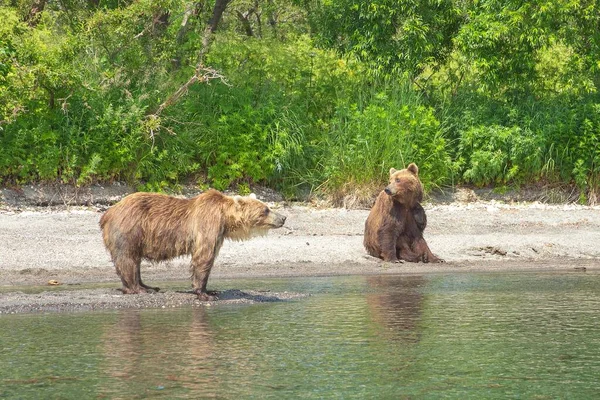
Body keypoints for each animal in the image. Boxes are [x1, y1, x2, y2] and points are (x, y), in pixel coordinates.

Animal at [99, 190, 288, 300]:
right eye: (266, 209)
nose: (283, 217)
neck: (225, 219)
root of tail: (108, 213)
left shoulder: (219, 234)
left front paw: (210, 290)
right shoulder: (208, 224)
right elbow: (204, 257)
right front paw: (204, 293)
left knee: (134, 260)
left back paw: (149, 285)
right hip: (130, 228)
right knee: (128, 259)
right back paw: (138, 289)